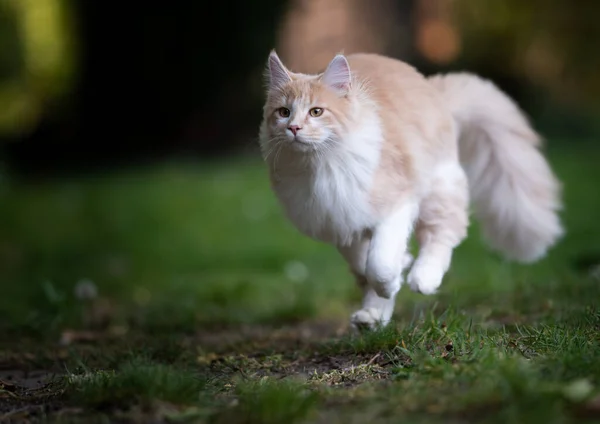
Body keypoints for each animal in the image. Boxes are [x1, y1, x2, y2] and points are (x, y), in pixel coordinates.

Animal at [258, 51, 564, 332]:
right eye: (283, 112)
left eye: (316, 112)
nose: (294, 128)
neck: (321, 165)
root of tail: (431, 89)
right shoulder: (338, 221)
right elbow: (364, 264)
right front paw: (388, 286)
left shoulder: (396, 205)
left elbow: (380, 264)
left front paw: (393, 280)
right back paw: (372, 316)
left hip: (437, 190)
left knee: (443, 234)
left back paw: (423, 279)